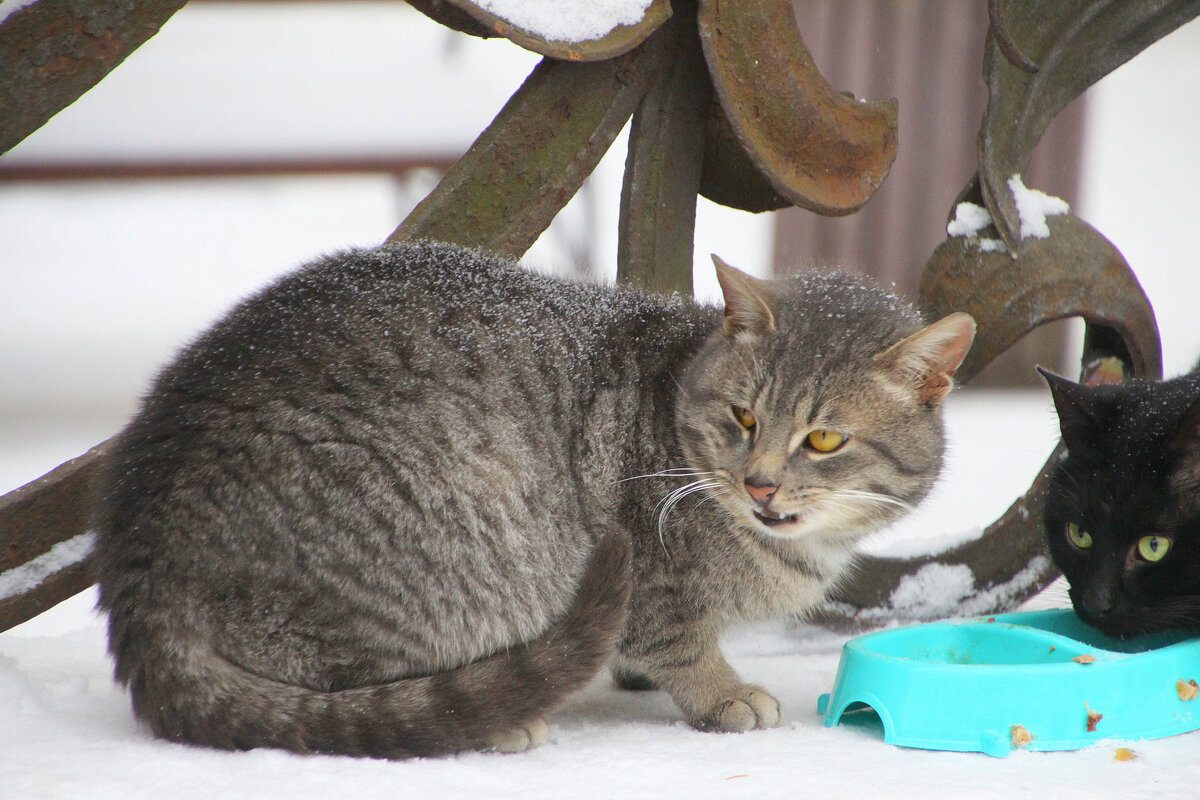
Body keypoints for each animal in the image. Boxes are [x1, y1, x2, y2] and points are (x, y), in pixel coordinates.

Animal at [93, 237, 974, 758]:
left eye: (823, 440)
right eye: (744, 418)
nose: (757, 481)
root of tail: (138, 557)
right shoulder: (650, 575)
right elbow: (679, 641)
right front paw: (722, 694)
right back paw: (495, 716)